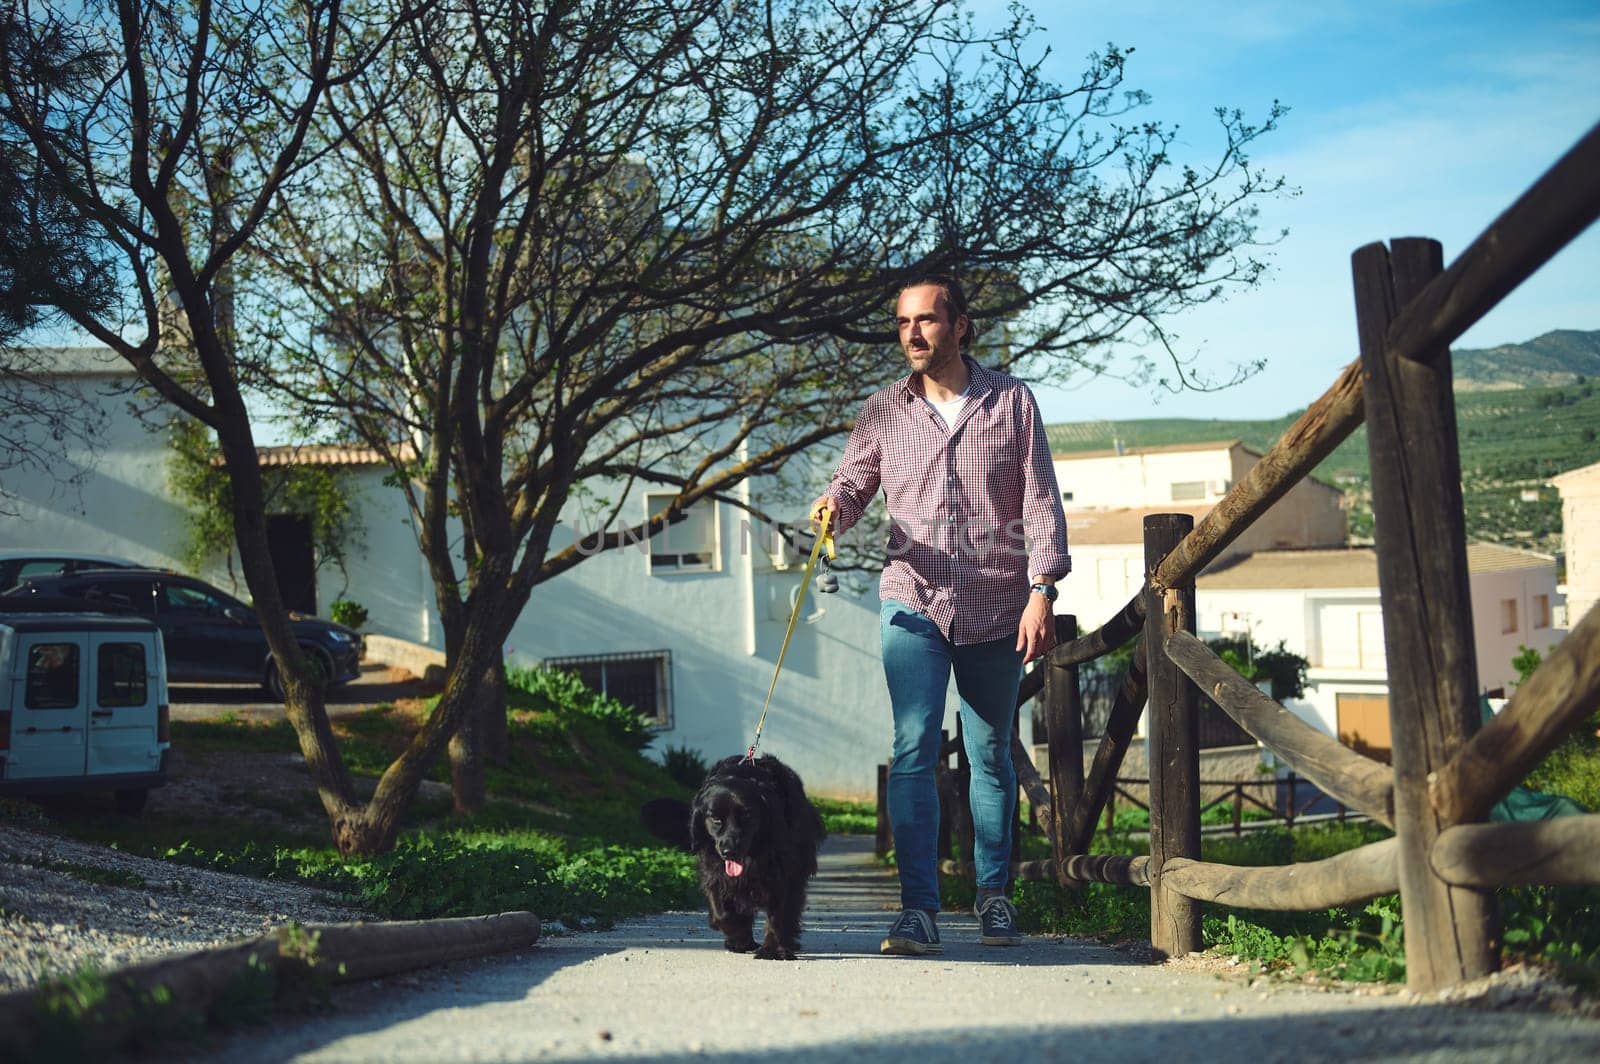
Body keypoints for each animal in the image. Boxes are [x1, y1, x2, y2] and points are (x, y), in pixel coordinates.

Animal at [646, 752, 832, 960]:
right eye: (716, 819)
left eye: (747, 816)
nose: (729, 851)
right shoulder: (714, 871)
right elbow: (722, 913)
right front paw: (739, 936)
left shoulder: (785, 874)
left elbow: (779, 914)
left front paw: (772, 950)